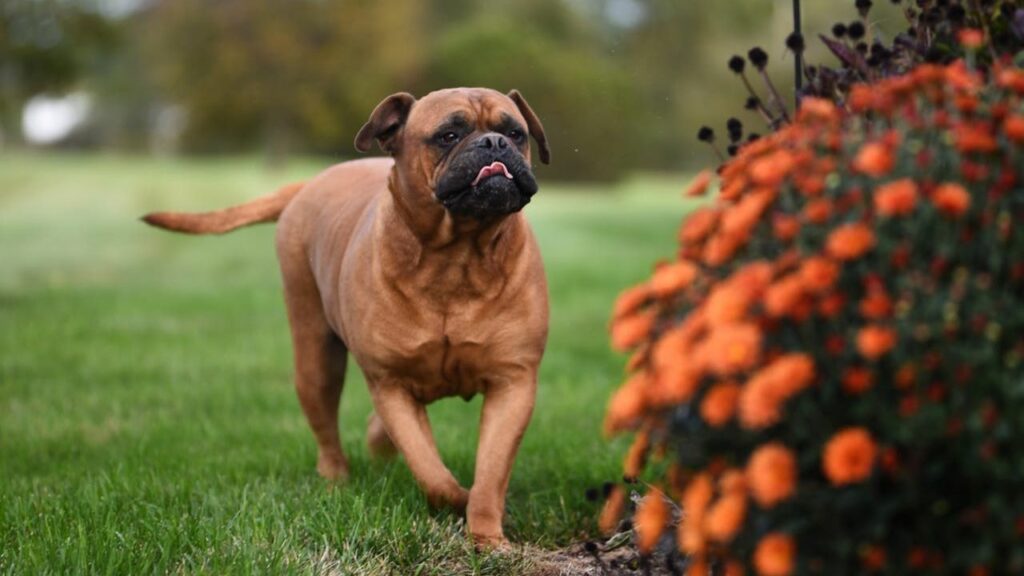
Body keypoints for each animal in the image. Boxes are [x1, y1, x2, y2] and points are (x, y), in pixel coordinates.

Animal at [144, 87, 552, 545]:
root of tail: (310, 183)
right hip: (316, 360)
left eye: (516, 133)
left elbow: (491, 471)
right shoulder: (390, 383)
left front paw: (487, 538)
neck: (458, 257)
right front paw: (455, 499)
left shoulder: (512, 383)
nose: (494, 144)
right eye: (448, 135)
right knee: (327, 427)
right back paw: (335, 479)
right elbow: (429, 469)